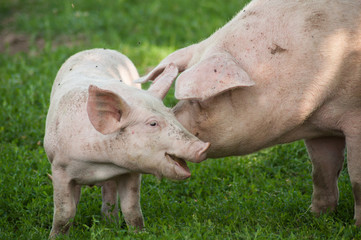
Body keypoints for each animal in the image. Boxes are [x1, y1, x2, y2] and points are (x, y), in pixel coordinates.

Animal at [43, 48, 210, 236]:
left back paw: (111, 224)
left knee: (109, 193)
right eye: (153, 123)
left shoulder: (131, 171)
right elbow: (64, 212)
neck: (100, 164)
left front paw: (140, 234)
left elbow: (132, 209)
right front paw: (55, 237)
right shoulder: (59, 168)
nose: (203, 146)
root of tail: (97, 50)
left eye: (172, 114)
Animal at [138, 0, 360, 224]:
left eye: (196, 100)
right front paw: (315, 217)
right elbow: (321, 172)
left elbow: (356, 178)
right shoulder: (320, 128)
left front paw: (354, 225)